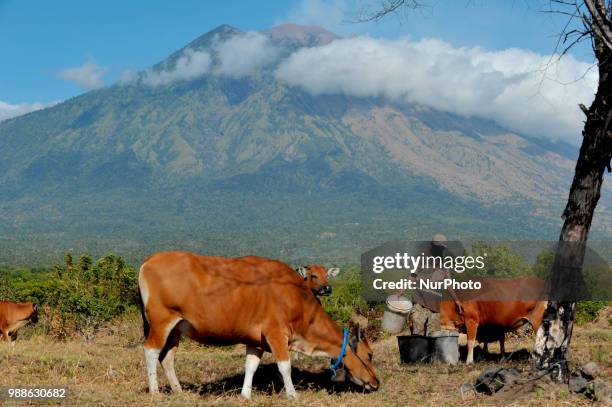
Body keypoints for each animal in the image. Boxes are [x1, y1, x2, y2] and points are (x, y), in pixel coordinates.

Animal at [139, 253, 378, 400]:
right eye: (369, 355)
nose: (376, 382)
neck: (297, 297)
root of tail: (151, 259)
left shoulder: (256, 342)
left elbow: (251, 366)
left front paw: (245, 394)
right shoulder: (277, 334)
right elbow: (285, 366)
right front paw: (292, 394)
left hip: (177, 328)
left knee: (167, 358)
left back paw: (178, 391)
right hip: (161, 322)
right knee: (151, 352)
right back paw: (155, 392)